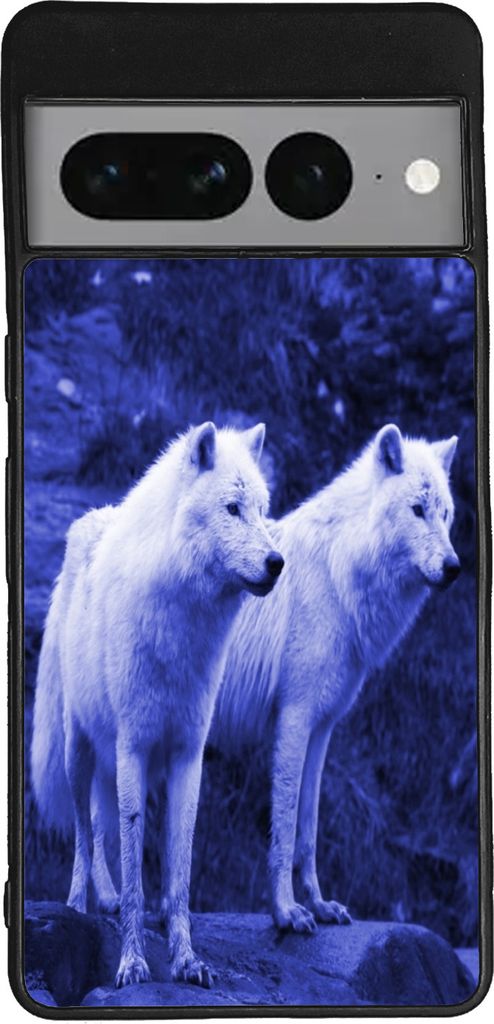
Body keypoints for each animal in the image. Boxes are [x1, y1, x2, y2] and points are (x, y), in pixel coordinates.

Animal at [31, 421, 284, 988]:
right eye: (232, 508)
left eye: (262, 510)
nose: (278, 563)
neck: (184, 627)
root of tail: (87, 521)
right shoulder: (135, 747)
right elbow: (132, 859)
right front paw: (132, 961)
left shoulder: (188, 755)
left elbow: (178, 868)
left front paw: (186, 958)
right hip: (79, 753)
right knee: (83, 833)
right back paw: (78, 903)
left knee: (98, 825)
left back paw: (109, 901)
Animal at [211, 424, 460, 934]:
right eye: (417, 509)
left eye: (445, 514)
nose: (453, 568)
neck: (340, 575)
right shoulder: (294, 717)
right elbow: (286, 825)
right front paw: (285, 912)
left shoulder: (322, 727)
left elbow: (308, 827)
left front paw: (321, 904)